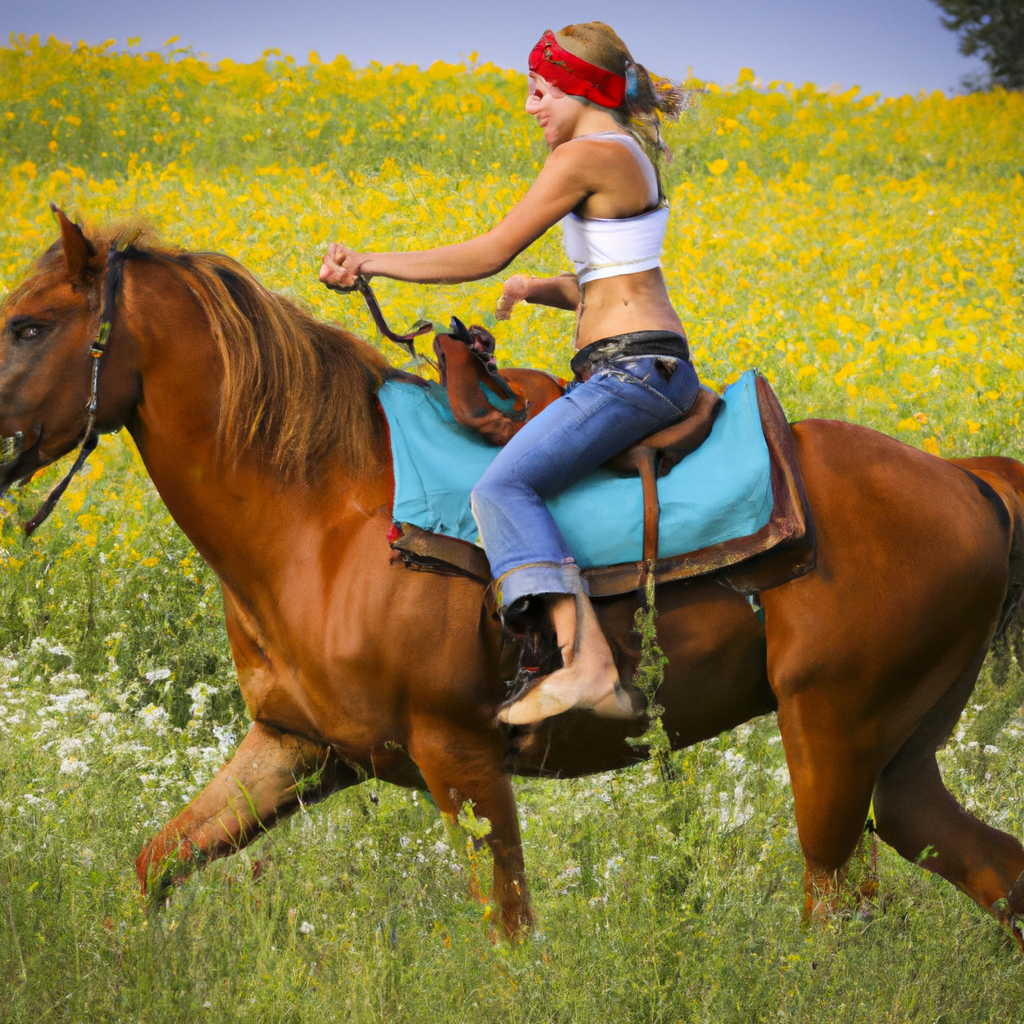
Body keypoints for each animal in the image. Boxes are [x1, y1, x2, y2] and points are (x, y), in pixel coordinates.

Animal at [6, 209, 1024, 942]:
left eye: (26, 326)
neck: (324, 516)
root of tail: (968, 480)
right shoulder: (294, 749)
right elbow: (156, 865)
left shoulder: (460, 757)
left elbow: (510, 939)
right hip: (898, 761)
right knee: (992, 874)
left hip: (834, 740)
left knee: (837, 916)